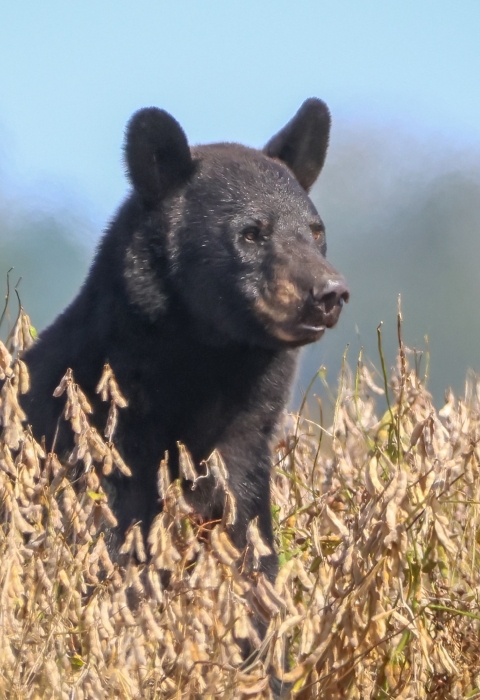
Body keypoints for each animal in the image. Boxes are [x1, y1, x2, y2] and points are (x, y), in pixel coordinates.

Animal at [22, 98, 348, 581]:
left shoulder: (243, 448)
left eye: (316, 230)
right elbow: (118, 546)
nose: (328, 293)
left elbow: (249, 542)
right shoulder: (99, 448)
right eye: (251, 232)